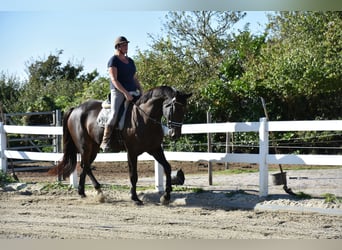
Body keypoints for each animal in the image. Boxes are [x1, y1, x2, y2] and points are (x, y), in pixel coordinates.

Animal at [49, 86, 191, 205]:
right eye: (173, 108)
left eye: (184, 109)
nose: (175, 134)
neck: (145, 118)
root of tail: (76, 109)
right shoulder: (132, 152)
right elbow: (133, 175)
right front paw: (135, 198)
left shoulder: (155, 149)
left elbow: (167, 167)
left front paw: (166, 196)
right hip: (85, 146)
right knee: (86, 166)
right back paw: (98, 192)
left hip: (94, 148)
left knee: (86, 166)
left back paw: (83, 192)